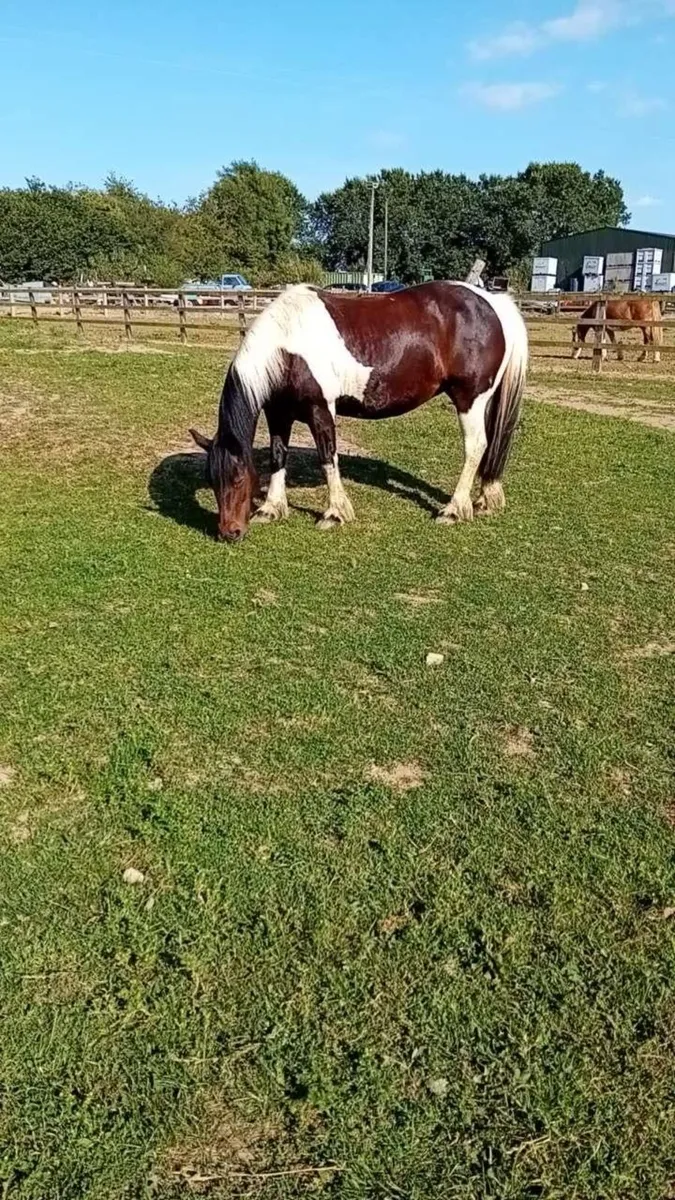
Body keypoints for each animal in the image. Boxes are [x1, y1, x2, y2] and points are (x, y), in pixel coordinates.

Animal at [189, 282, 528, 543]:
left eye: (237, 479)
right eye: (211, 479)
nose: (229, 532)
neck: (287, 346)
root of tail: (492, 302)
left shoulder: (320, 410)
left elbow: (328, 457)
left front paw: (335, 513)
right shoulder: (278, 412)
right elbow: (277, 457)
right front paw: (271, 508)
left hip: (470, 399)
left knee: (476, 446)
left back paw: (454, 510)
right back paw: (484, 499)